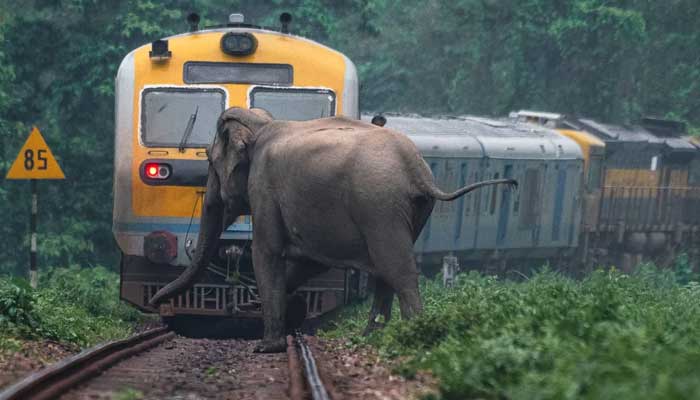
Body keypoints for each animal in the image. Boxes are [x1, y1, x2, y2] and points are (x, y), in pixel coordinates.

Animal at [150, 107, 516, 354]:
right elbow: (308, 262)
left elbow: (267, 252)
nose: (155, 303)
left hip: (379, 204)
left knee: (396, 269)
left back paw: (411, 337)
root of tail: (417, 168)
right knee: (386, 271)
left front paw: (266, 346)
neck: (262, 123)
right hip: (414, 210)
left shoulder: (264, 185)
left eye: (211, 162)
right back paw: (371, 336)